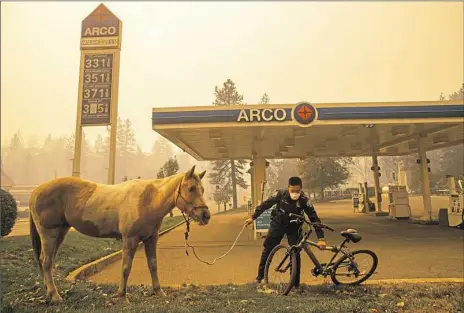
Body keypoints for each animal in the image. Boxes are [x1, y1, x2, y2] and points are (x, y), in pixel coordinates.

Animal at [29, 166, 210, 302]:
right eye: (191, 188)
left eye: (202, 189)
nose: (205, 215)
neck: (147, 200)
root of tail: (36, 191)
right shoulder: (130, 239)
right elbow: (126, 267)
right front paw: (122, 295)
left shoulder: (151, 239)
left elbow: (153, 265)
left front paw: (158, 292)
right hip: (49, 233)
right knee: (46, 262)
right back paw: (55, 295)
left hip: (60, 233)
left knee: (45, 261)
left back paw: (48, 291)